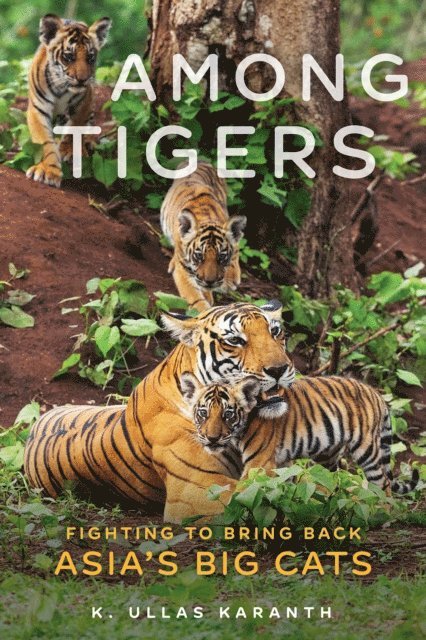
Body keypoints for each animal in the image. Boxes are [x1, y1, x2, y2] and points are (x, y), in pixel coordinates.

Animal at [26, 14, 111, 187]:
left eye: (90, 57)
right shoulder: (38, 109)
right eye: (68, 57)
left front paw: (69, 151)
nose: (82, 79)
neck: (61, 87)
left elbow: (75, 129)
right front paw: (48, 170)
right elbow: (45, 142)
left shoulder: (84, 102)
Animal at [160, 162, 247, 311]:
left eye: (223, 257)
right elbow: (196, 298)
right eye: (199, 256)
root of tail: (202, 161)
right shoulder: (183, 269)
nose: (236, 283)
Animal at [180, 375, 419, 496]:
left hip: (366, 448)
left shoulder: (259, 464)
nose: (212, 438)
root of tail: (375, 393)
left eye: (228, 415)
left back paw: (382, 512)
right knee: (331, 479)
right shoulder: (280, 463)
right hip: (328, 455)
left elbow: (241, 491)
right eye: (203, 413)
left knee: (383, 483)